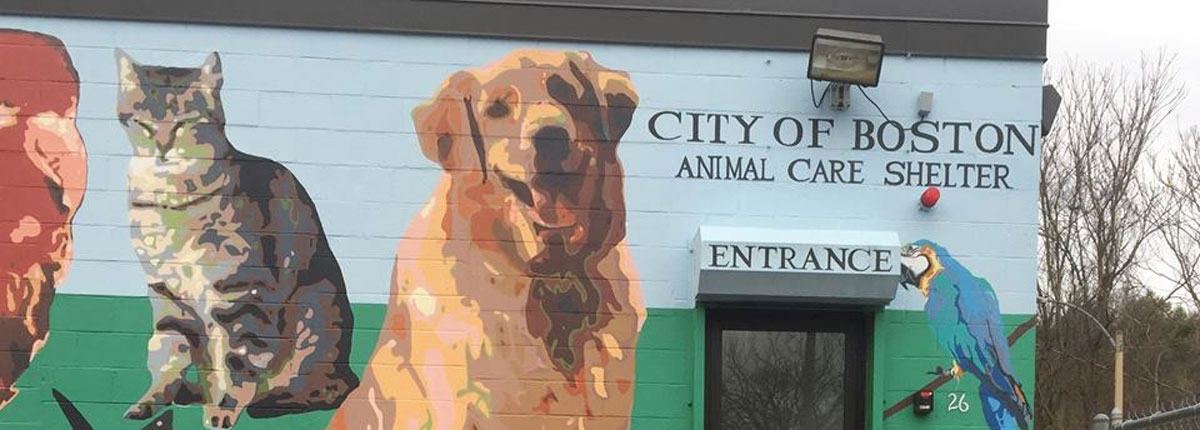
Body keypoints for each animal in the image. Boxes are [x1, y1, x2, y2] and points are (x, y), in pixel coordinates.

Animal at [116, 50, 357, 429]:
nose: (162, 147)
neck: (170, 199)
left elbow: (236, 359)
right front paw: (152, 399)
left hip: (315, 310)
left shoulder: (242, 292)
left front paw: (223, 408)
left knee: (319, 388)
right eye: (144, 123)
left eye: (185, 123)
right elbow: (168, 350)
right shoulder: (167, 292)